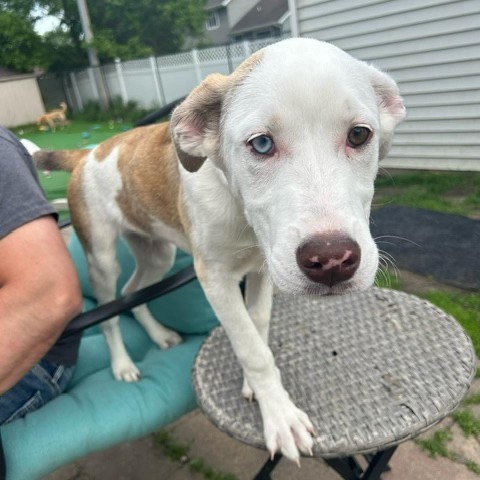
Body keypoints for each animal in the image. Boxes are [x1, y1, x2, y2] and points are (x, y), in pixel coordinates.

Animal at [32, 39, 404, 464]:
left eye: (359, 135)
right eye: (261, 144)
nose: (332, 261)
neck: (242, 216)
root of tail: (86, 154)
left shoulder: (262, 268)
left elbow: (256, 325)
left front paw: (257, 388)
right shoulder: (214, 277)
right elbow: (251, 348)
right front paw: (280, 415)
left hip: (156, 252)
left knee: (132, 292)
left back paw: (159, 335)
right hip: (101, 256)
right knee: (110, 311)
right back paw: (123, 365)